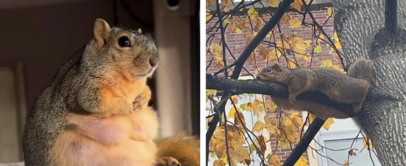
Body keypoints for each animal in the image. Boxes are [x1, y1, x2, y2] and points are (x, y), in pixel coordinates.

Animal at [22, 18, 200, 166]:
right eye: (124, 41)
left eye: (151, 41)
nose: (155, 61)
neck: (127, 80)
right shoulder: (80, 89)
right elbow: (94, 102)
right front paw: (126, 106)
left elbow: (147, 90)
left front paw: (142, 100)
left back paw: (165, 160)